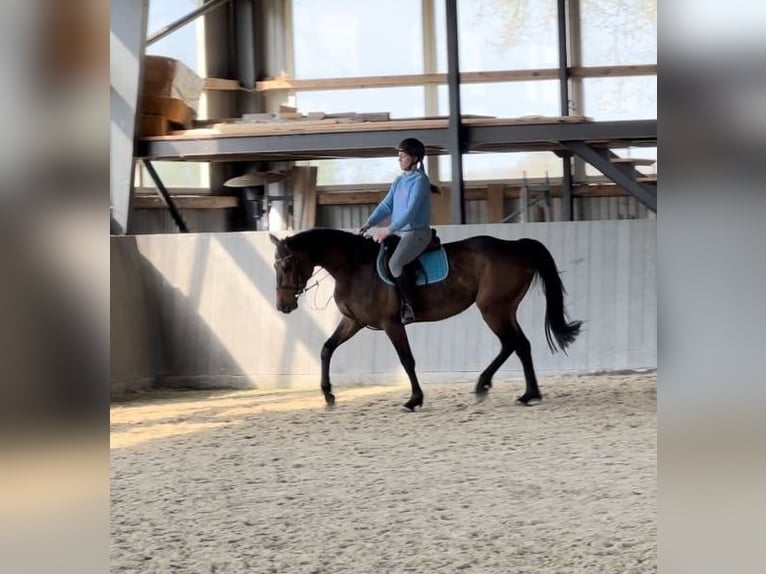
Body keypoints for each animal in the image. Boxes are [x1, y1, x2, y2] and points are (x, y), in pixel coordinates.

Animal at [269, 228, 581, 411]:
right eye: (275, 266)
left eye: (286, 265)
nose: (283, 306)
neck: (354, 267)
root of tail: (515, 245)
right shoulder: (353, 322)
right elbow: (326, 349)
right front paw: (328, 395)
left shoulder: (391, 324)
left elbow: (407, 360)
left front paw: (414, 400)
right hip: (503, 309)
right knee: (519, 345)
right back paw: (518, 391)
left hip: (493, 309)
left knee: (514, 344)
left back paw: (508, 390)